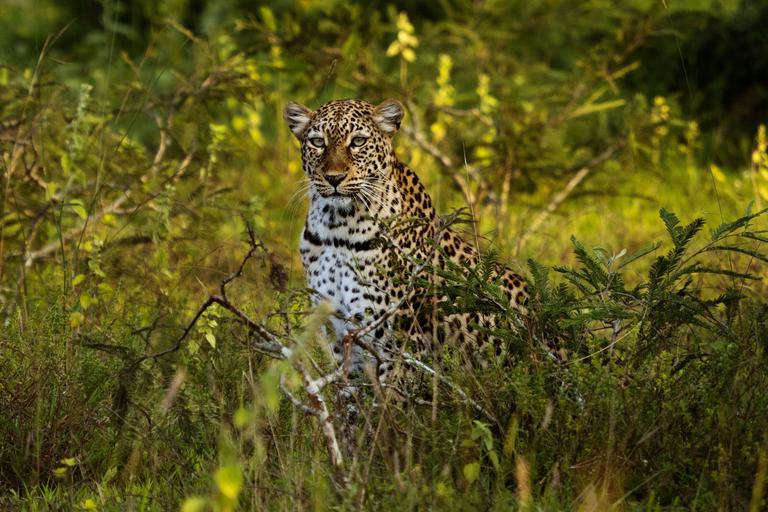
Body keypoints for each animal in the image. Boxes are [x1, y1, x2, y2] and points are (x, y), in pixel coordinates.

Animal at [283, 98, 529, 395]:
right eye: (318, 142)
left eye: (358, 141)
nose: (334, 178)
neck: (336, 229)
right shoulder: (343, 336)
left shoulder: (400, 344)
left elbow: (390, 400)